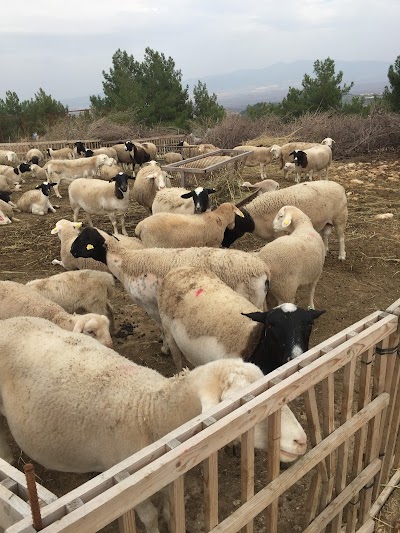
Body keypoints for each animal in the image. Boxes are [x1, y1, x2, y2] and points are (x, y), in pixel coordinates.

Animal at [0, 316, 306, 532]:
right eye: (238, 402)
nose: (301, 441)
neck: (152, 413)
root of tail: (10, 322)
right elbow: (149, 516)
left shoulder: (170, 476)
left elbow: (171, 509)